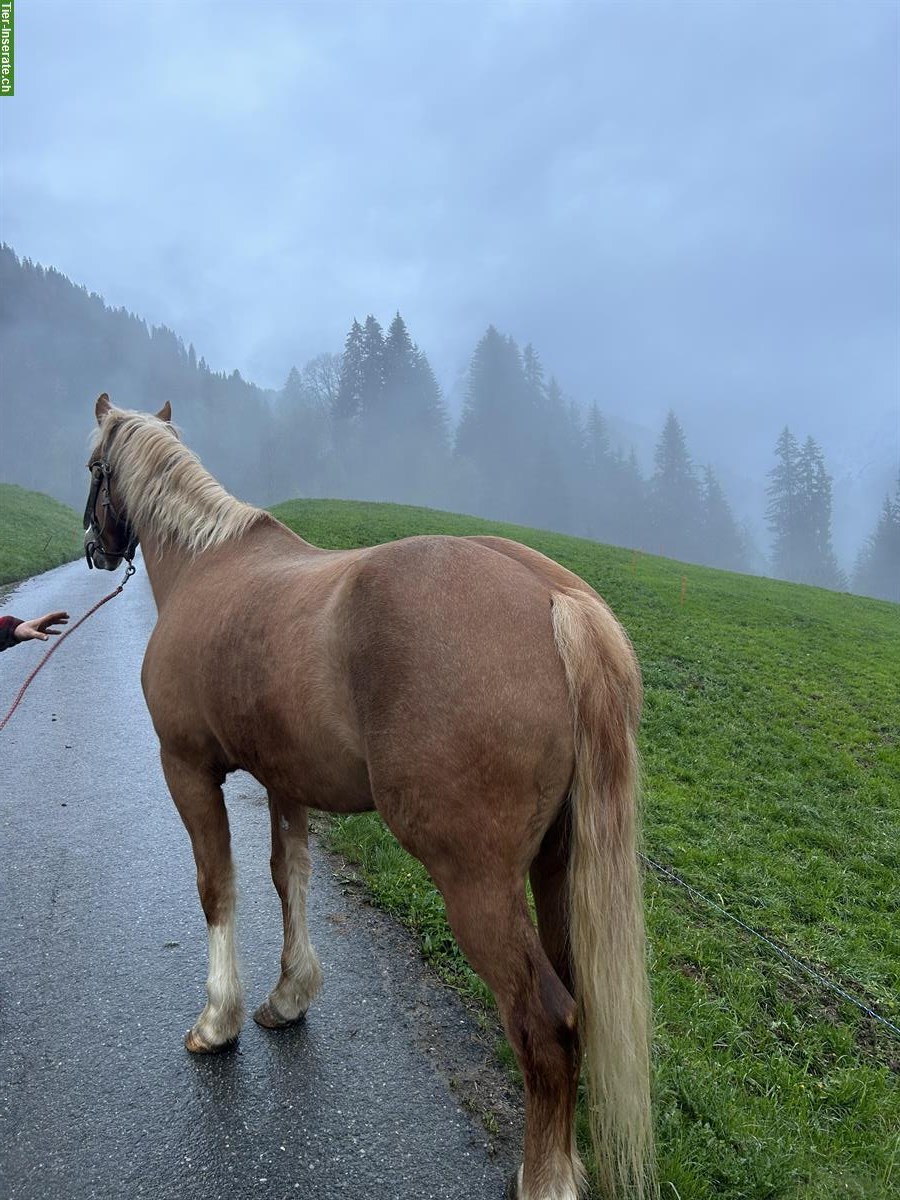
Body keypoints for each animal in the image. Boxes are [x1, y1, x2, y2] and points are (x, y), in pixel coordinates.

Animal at [82, 396, 657, 1200]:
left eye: (92, 467)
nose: (94, 547)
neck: (204, 565)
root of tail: (555, 598)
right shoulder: (285, 779)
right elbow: (288, 878)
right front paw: (288, 998)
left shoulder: (187, 769)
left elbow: (217, 887)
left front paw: (219, 1020)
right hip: (557, 868)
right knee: (573, 1005)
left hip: (478, 885)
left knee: (545, 1025)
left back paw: (544, 1178)